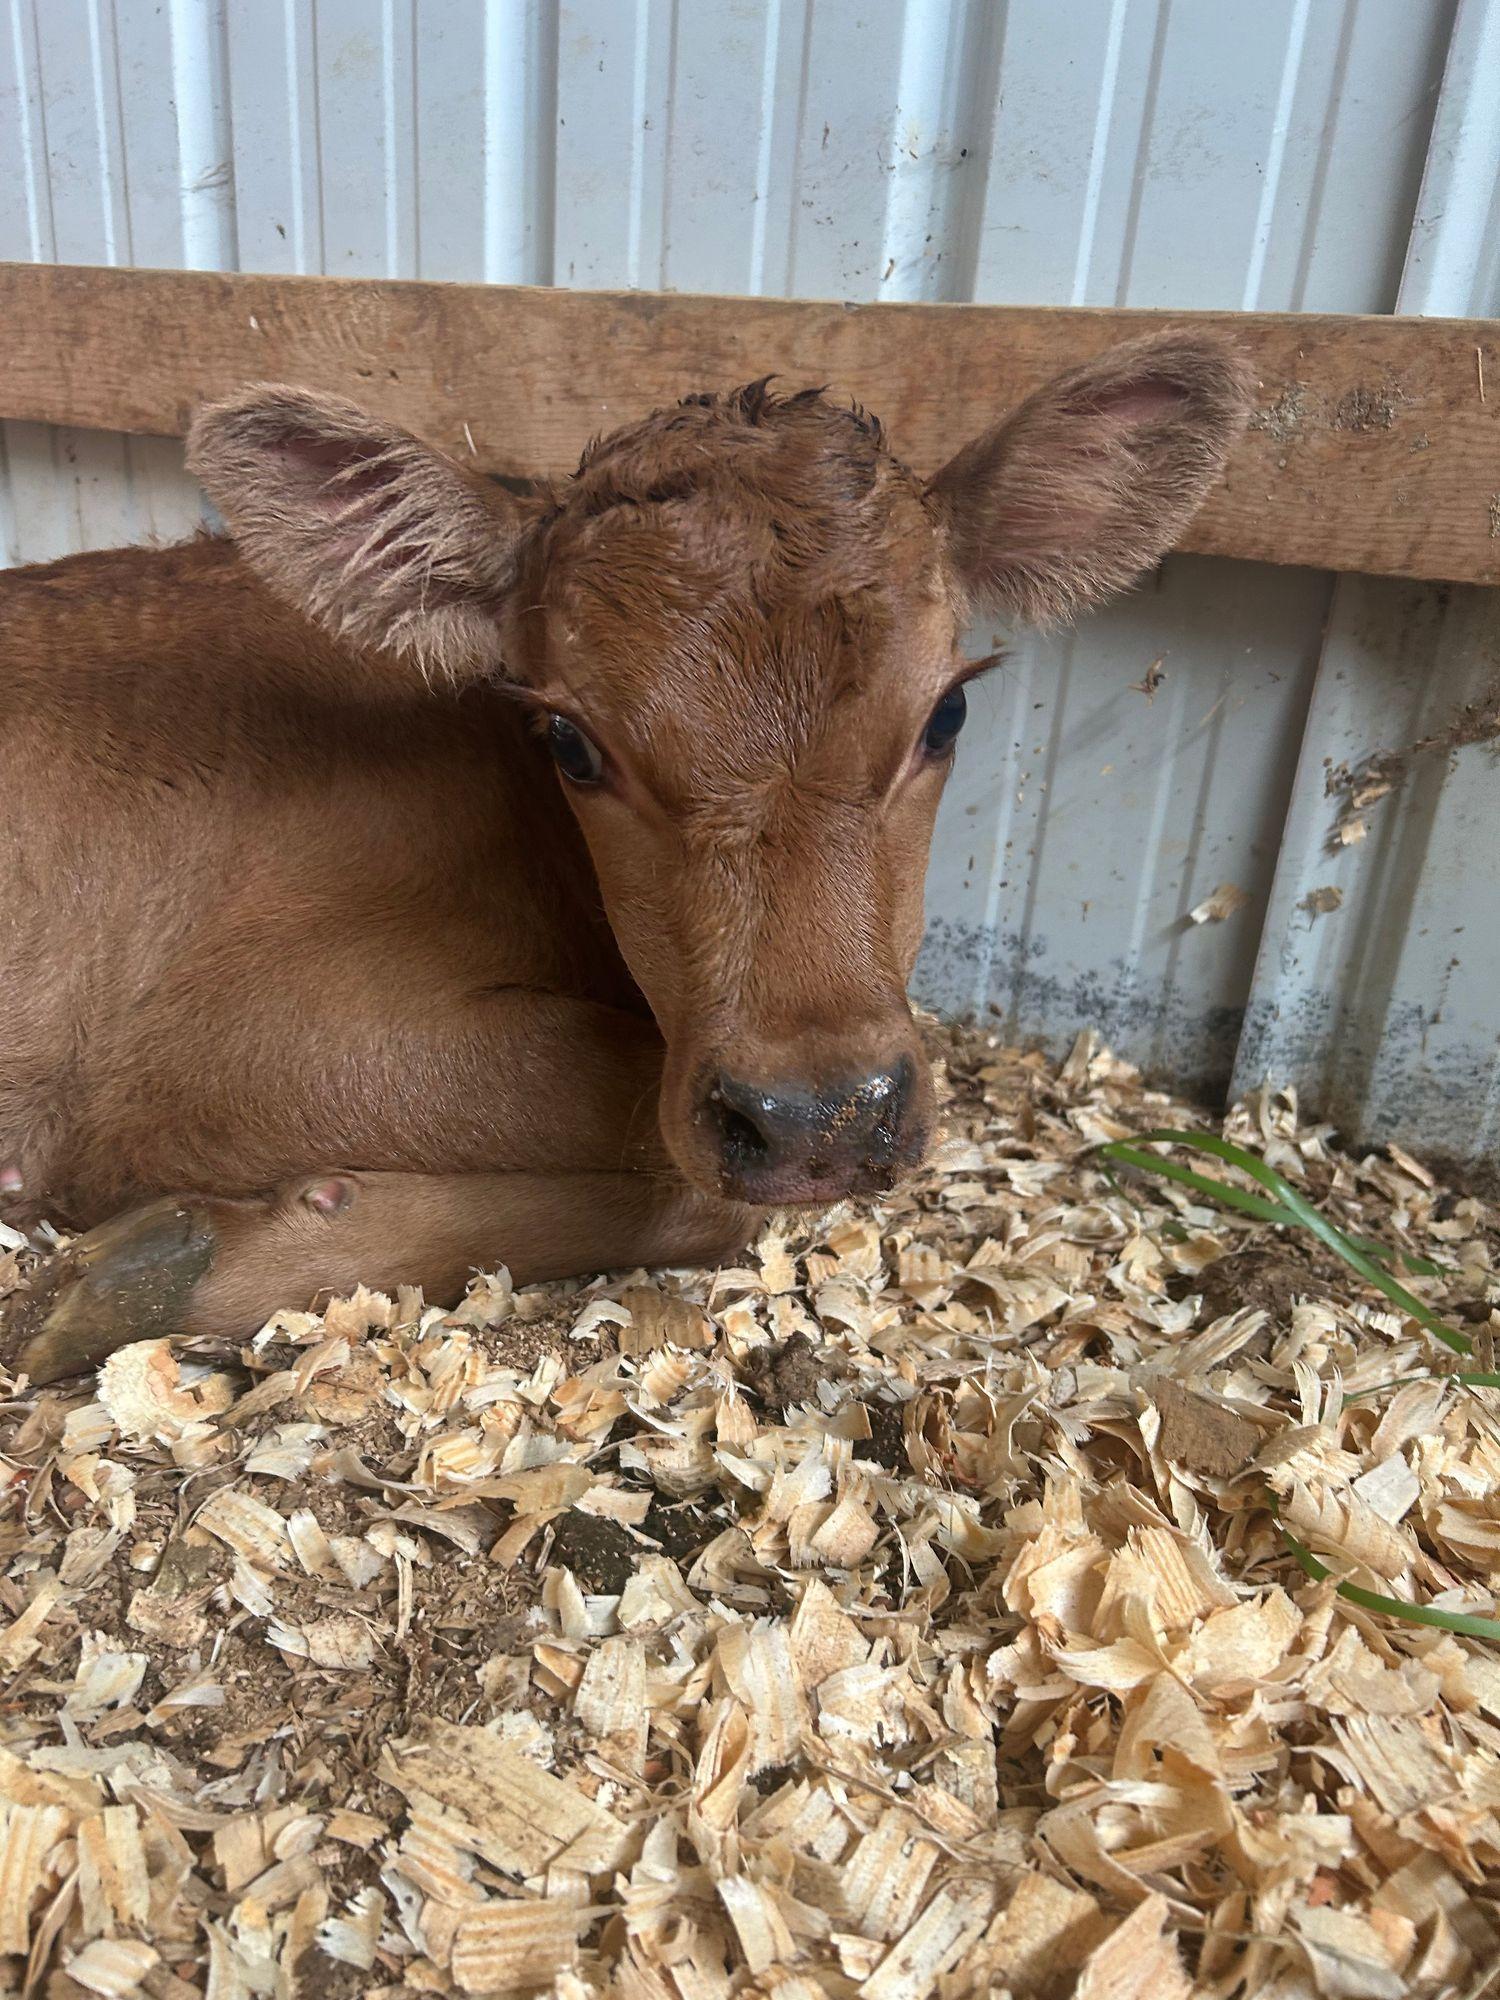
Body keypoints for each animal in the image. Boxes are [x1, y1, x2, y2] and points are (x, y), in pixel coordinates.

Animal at [0, 333, 1251, 1382]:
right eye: (572, 741)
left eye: (945, 713)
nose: (820, 1120)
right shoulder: (202, 1051)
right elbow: (679, 1165)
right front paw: (148, 1265)